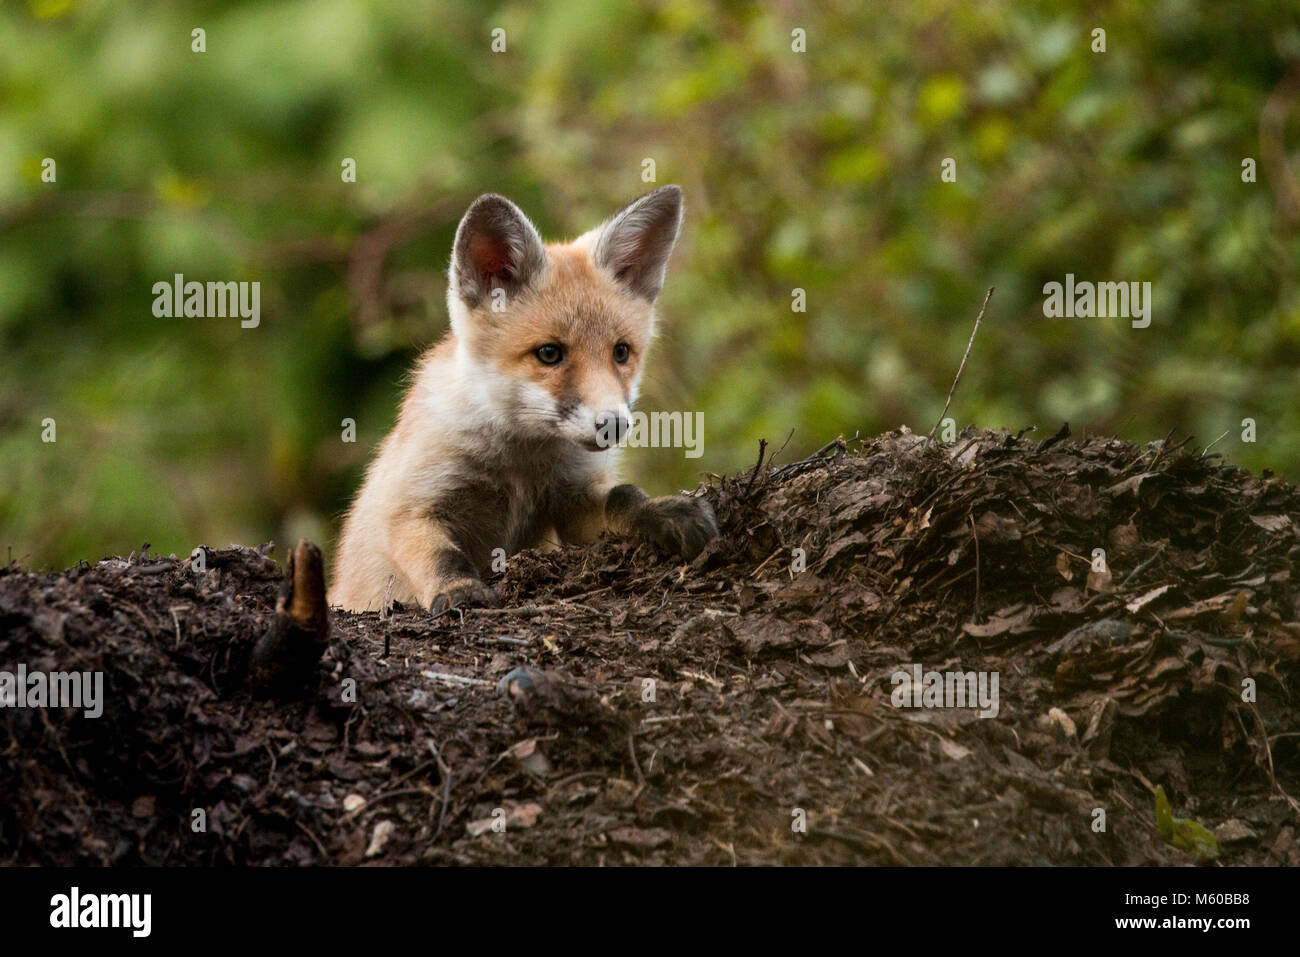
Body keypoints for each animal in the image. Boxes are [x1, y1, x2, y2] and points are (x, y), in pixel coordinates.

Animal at [323, 187, 712, 613]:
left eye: (621, 353)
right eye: (549, 354)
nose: (613, 425)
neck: (519, 462)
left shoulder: (573, 500)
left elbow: (622, 496)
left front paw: (658, 510)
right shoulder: (406, 507)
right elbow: (440, 555)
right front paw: (458, 589)